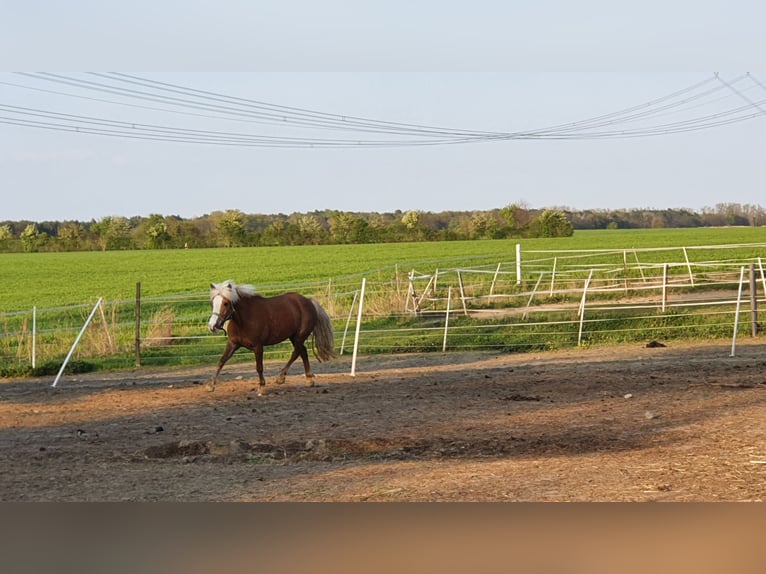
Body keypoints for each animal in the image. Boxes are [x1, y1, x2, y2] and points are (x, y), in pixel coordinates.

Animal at [207, 280, 336, 394]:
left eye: (225, 303)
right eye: (212, 303)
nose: (212, 326)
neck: (243, 320)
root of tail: (308, 301)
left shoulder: (258, 347)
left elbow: (259, 367)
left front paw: (262, 388)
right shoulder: (233, 344)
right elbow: (221, 361)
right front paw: (210, 385)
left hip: (299, 336)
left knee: (296, 352)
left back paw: (281, 378)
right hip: (293, 337)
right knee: (302, 352)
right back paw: (309, 380)